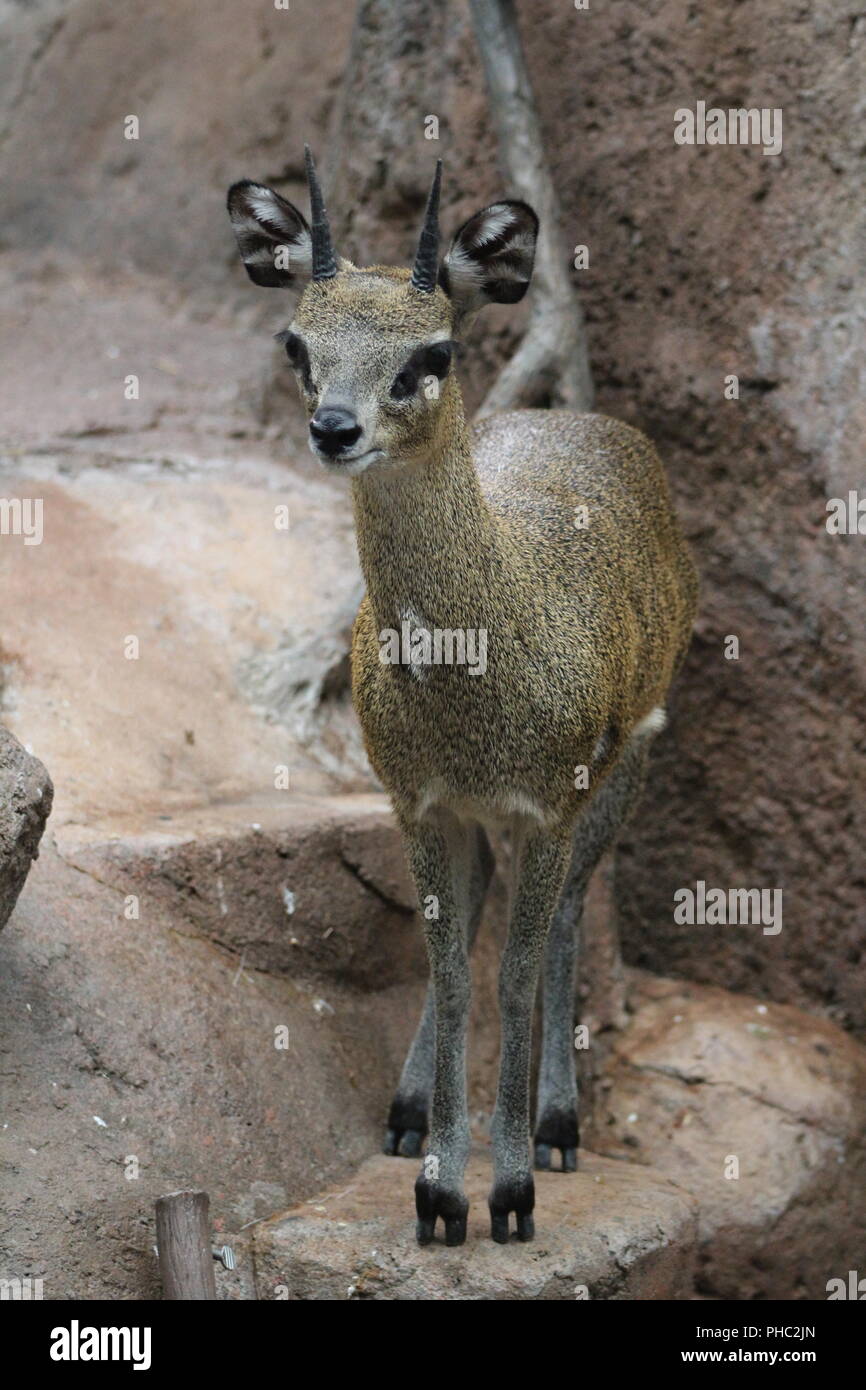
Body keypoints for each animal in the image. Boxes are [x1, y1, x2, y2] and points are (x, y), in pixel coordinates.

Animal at [225, 146, 697, 1245]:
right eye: (297, 342)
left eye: (429, 353)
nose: (334, 428)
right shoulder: (419, 798)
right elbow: (446, 963)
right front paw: (440, 1193)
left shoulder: (553, 797)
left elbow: (515, 968)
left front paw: (510, 1193)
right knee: (480, 901)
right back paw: (407, 1117)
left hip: (632, 757)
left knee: (565, 915)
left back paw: (559, 1128)